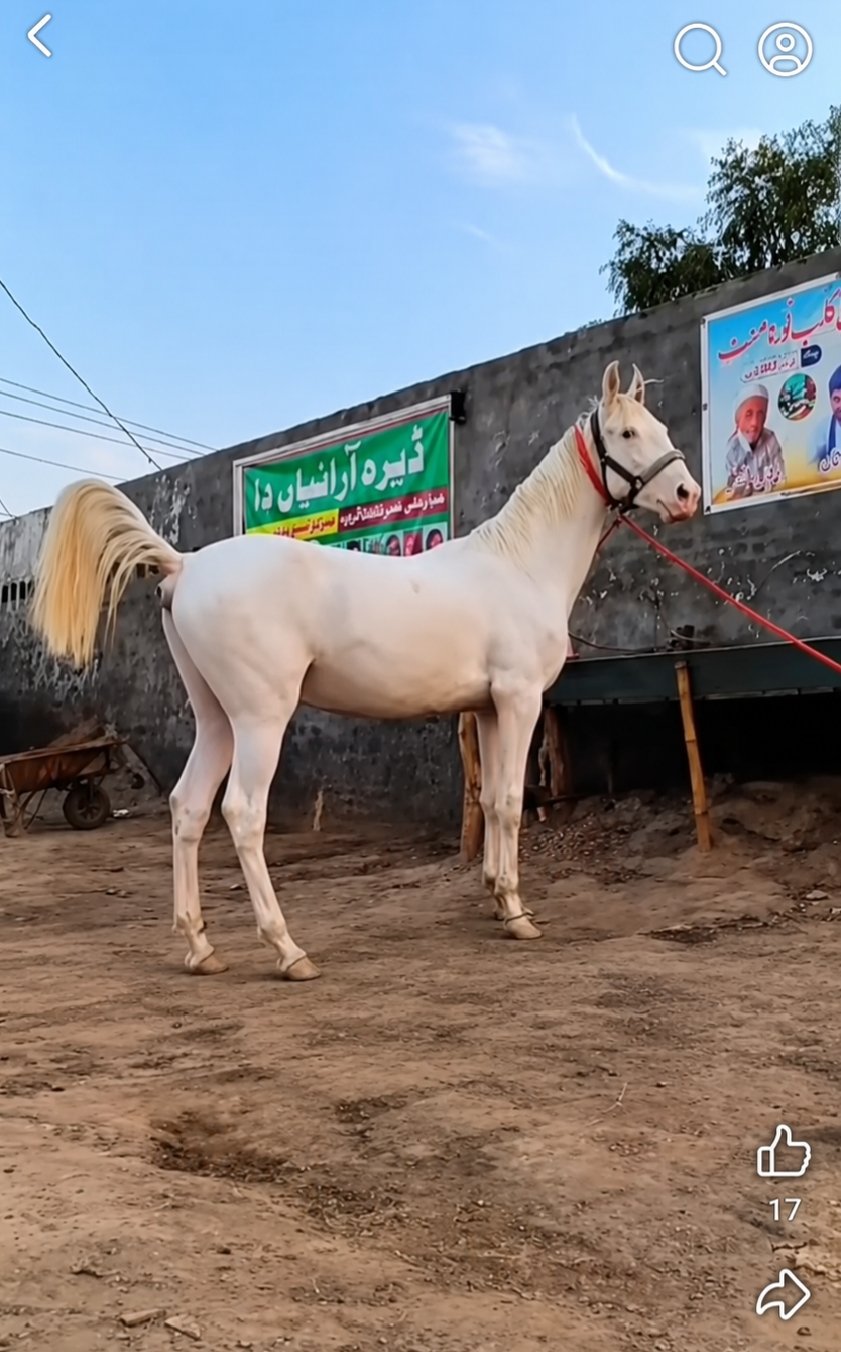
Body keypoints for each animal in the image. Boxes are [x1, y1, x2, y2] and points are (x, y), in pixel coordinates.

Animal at [29, 360, 700, 982]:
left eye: (663, 428)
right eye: (627, 432)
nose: (688, 496)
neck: (519, 566)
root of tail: (184, 565)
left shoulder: (486, 707)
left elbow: (488, 800)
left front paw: (497, 899)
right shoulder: (519, 699)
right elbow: (511, 800)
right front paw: (517, 913)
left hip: (216, 718)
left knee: (188, 808)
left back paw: (200, 948)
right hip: (260, 718)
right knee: (242, 813)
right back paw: (287, 950)